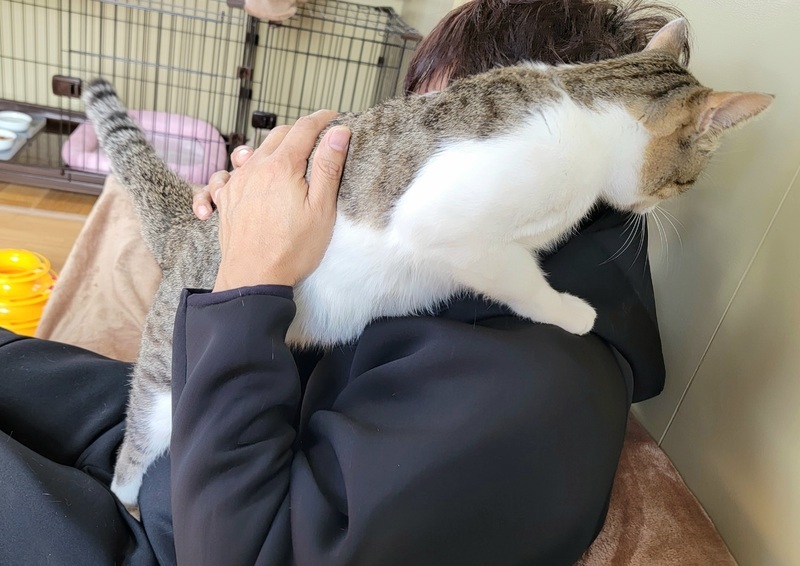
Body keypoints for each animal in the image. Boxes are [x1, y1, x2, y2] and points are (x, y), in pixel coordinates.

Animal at [82, 18, 772, 516]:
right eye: (688, 179)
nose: (665, 206)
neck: (585, 106)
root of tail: (187, 229)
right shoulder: (448, 221)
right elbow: (516, 275)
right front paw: (572, 312)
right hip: (165, 383)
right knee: (134, 445)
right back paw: (127, 499)